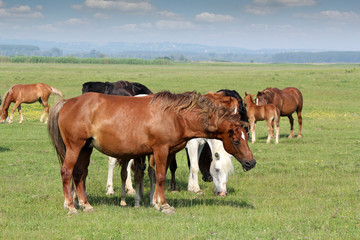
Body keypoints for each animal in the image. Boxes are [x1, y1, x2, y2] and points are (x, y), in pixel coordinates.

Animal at [47, 91, 256, 214]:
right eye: (236, 140)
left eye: (246, 136)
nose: (251, 162)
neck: (176, 115)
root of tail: (67, 102)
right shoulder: (161, 149)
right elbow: (161, 176)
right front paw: (164, 205)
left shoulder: (166, 152)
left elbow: (155, 175)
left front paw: (154, 202)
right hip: (75, 147)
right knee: (67, 172)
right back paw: (71, 206)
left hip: (85, 149)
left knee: (79, 174)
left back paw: (85, 204)